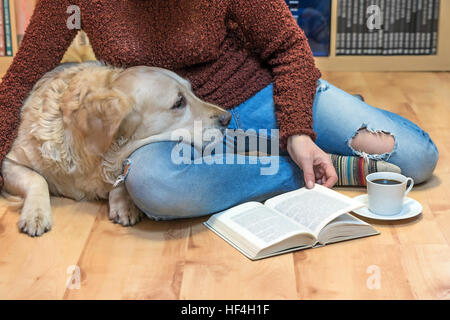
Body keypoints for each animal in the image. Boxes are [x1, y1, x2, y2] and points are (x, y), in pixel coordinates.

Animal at [0, 60, 232, 235]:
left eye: (192, 91)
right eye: (178, 102)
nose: (227, 118)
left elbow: (122, 176)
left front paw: (124, 203)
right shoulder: (10, 162)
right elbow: (37, 179)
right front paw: (36, 213)